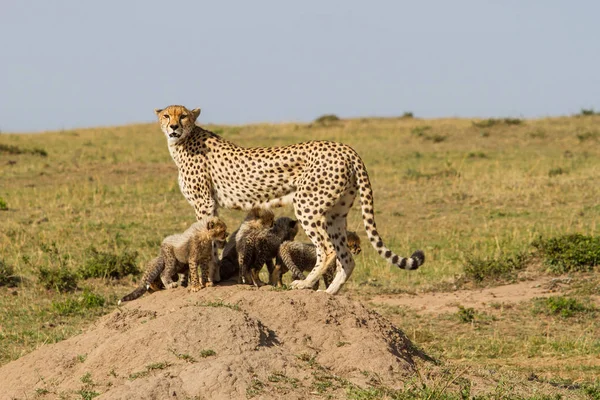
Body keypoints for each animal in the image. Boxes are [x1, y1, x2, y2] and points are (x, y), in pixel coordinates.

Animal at [155, 106, 426, 294]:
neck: (183, 142)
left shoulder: (205, 204)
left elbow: (208, 244)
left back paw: (304, 284)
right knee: (346, 257)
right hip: (335, 214)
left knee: (327, 249)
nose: (174, 127)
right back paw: (330, 292)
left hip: (307, 204)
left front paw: (210, 278)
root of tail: (346, 148)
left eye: (184, 116)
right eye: (167, 116)